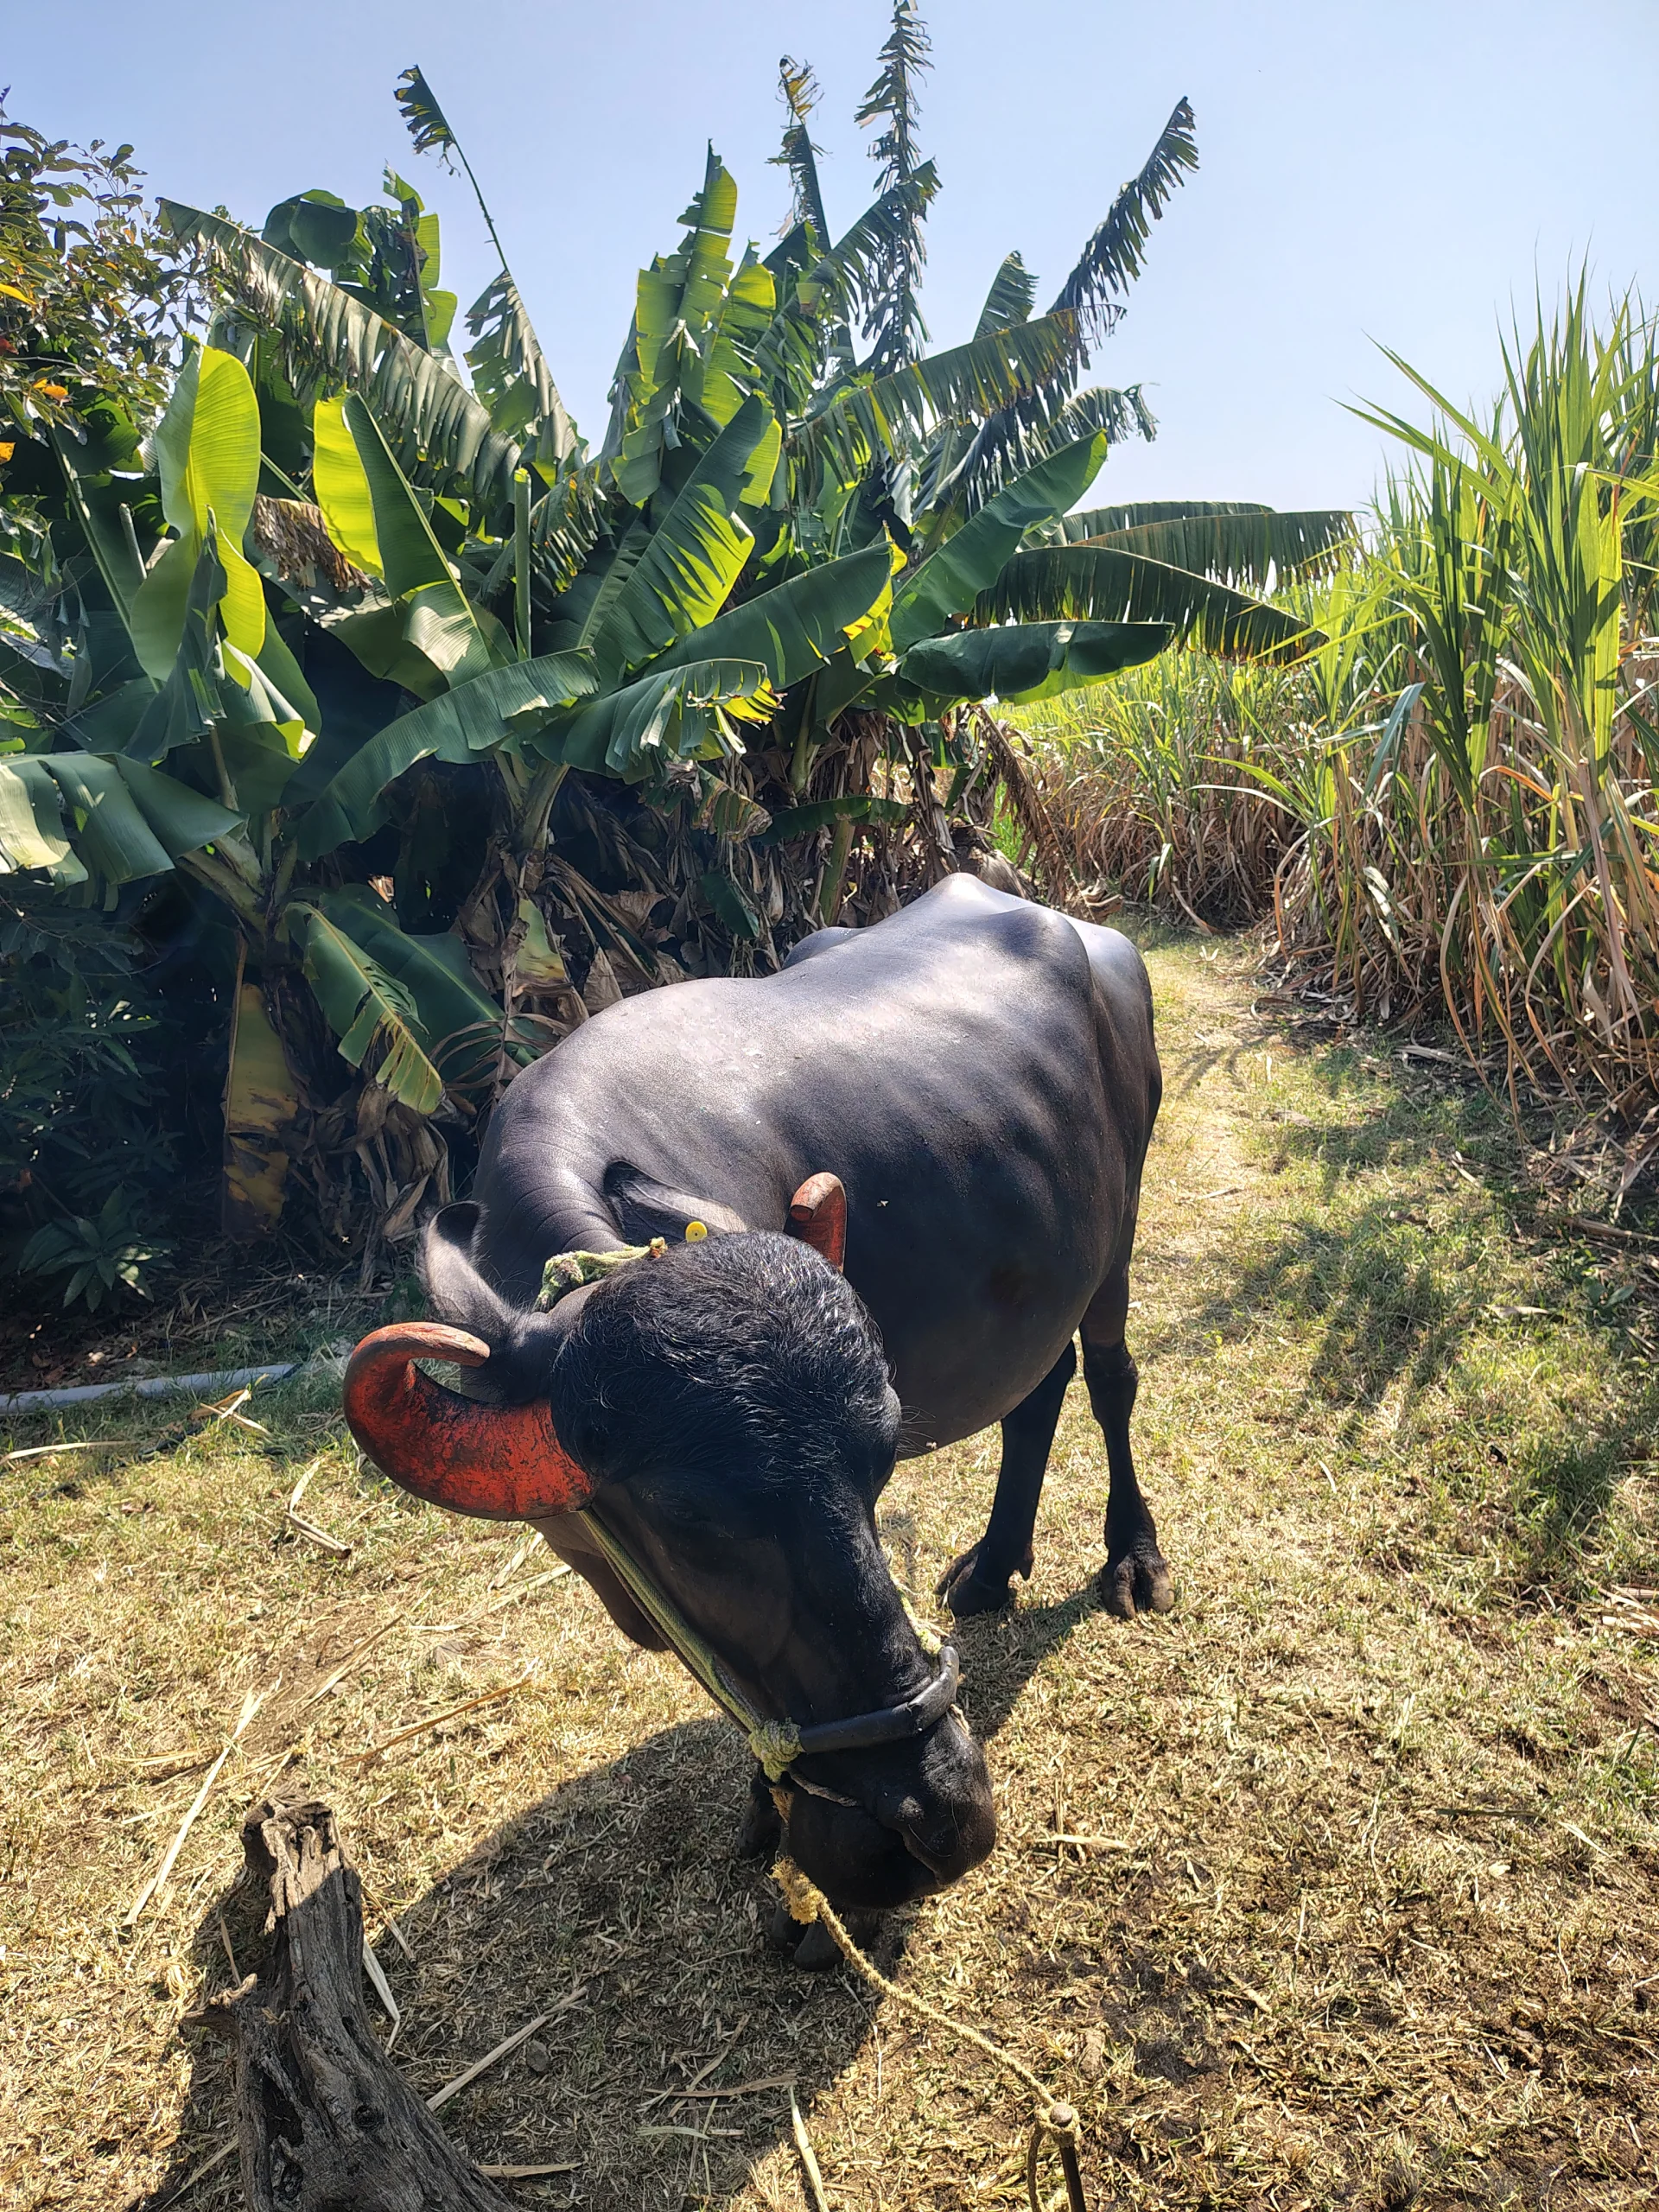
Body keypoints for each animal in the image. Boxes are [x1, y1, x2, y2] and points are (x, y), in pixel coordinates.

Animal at [345, 877, 1167, 1943]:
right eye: (692, 1523)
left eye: (879, 1465)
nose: (943, 1824)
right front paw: (764, 1815)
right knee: (1040, 1389)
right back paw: (991, 1568)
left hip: (1123, 1224)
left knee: (1109, 1377)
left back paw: (1135, 1558)